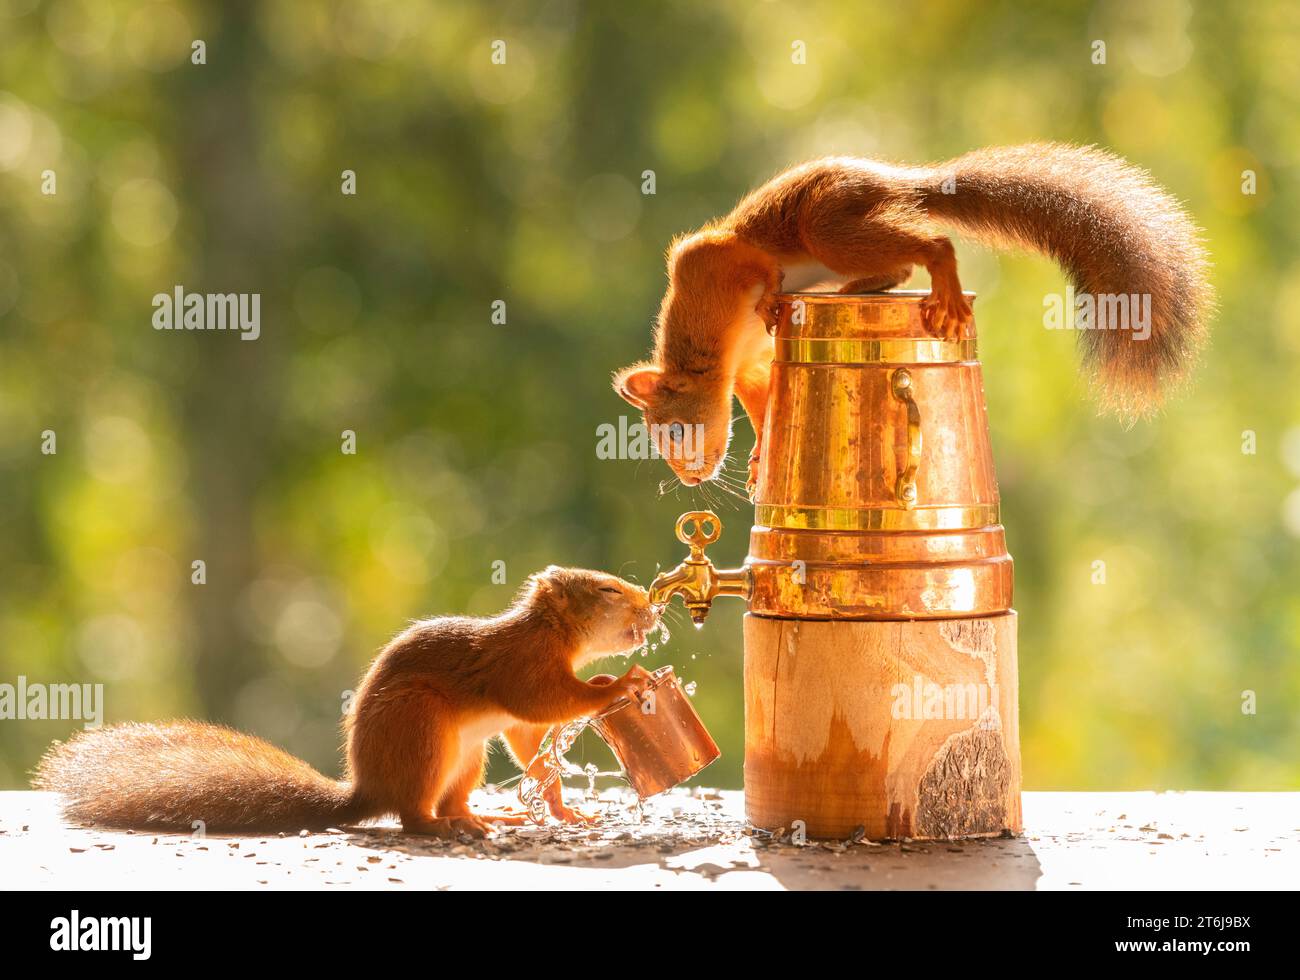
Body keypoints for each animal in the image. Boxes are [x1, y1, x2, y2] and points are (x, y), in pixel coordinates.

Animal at [35, 569, 660, 837]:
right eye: (607, 590)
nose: (653, 605)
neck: (550, 633)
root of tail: (368, 790)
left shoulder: (518, 712)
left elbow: (531, 741)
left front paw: (562, 809)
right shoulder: (521, 667)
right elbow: (547, 703)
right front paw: (621, 685)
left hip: (466, 757)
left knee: (447, 800)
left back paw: (478, 815)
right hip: (421, 732)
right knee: (411, 816)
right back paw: (443, 828)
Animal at [613, 142, 1211, 486]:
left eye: (674, 432)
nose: (691, 483)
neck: (716, 355)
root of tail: (896, 182)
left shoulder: (712, 259)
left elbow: (757, 262)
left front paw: (770, 293)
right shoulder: (753, 366)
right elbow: (762, 407)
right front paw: (761, 456)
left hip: (825, 226)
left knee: (933, 244)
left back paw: (942, 284)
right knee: (900, 266)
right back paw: (860, 286)